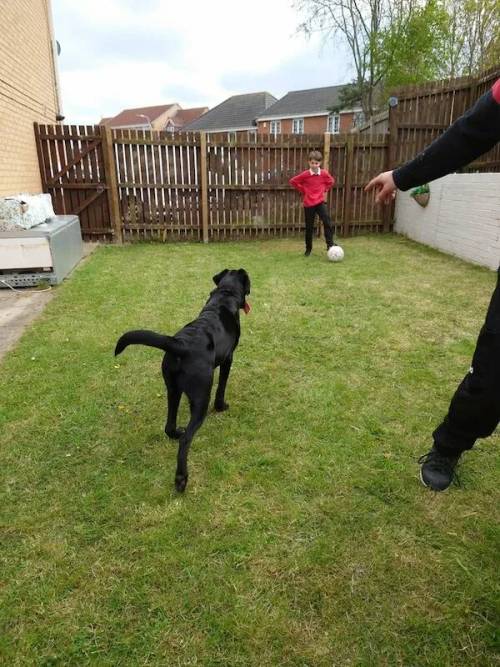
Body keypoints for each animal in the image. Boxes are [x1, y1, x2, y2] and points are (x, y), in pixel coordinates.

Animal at [115, 268, 252, 494]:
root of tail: (181, 344)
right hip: (200, 397)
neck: (225, 295)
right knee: (187, 439)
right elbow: (222, 387)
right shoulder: (228, 359)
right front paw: (221, 406)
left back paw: (176, 433)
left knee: (169, 427)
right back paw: (181, 478)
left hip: (172, 389)